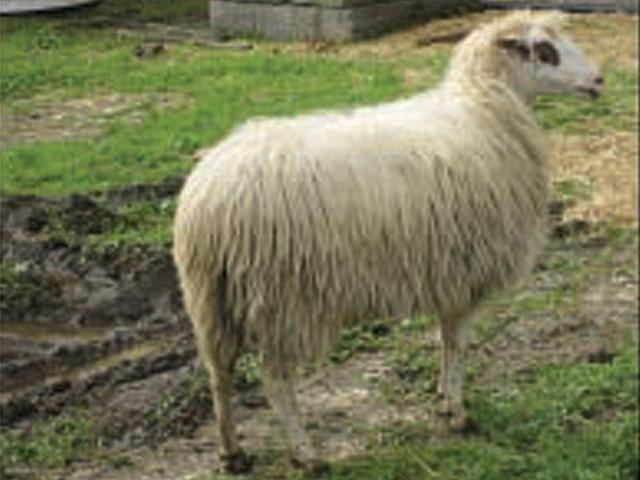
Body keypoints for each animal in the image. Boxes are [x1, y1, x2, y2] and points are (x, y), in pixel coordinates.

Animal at [173, 10, 603, 474]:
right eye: (545, 50)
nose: (599, 80)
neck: (486, 106)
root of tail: (209, 199)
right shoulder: (465, 272)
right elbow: (457, 342)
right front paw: (457, 411)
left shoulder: (447, 271)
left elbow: (445, 340)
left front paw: (442, 398)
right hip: (282, 300)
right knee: (275, 381)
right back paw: (306, 453)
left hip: (209, 299)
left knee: (219, 374)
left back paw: (232, 452)